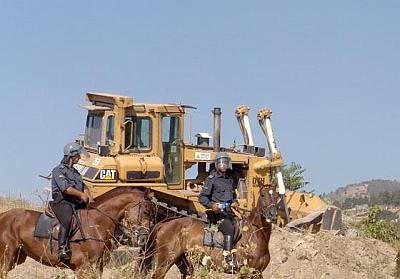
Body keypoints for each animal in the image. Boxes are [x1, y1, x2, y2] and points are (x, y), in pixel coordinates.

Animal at [0, 187, 152, 278]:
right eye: (145, 211)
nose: (144, 238)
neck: (95, 224)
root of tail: (3, 216)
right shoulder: (82, 268)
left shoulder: (98, 268)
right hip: (6, 258)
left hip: (17, 257)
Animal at [143, 185, 278, 278]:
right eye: (262, 195)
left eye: (277, 195)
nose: (272, 215)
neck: (253, 235)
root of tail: (164, 224)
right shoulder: (246, 272)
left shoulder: (258, 273)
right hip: (165, 261)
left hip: (182, 262)